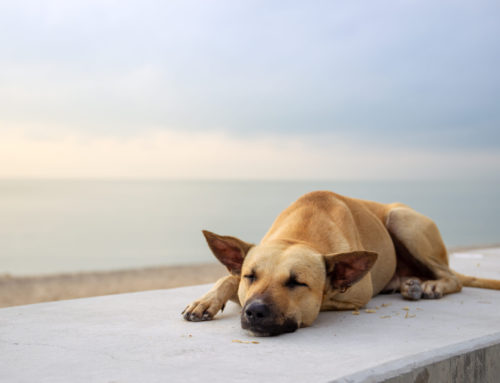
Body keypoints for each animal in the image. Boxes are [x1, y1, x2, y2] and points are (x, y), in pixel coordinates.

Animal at [182, 191, 498, 336]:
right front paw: (206, 300)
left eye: (297, 283)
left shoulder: (355, 295)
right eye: (251, 276)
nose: (254, 311)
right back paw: (409, 283)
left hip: (401, 219)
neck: (301, 234)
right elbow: (228, 278)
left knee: (452, 277)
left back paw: (430, 285)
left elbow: (327, 295)